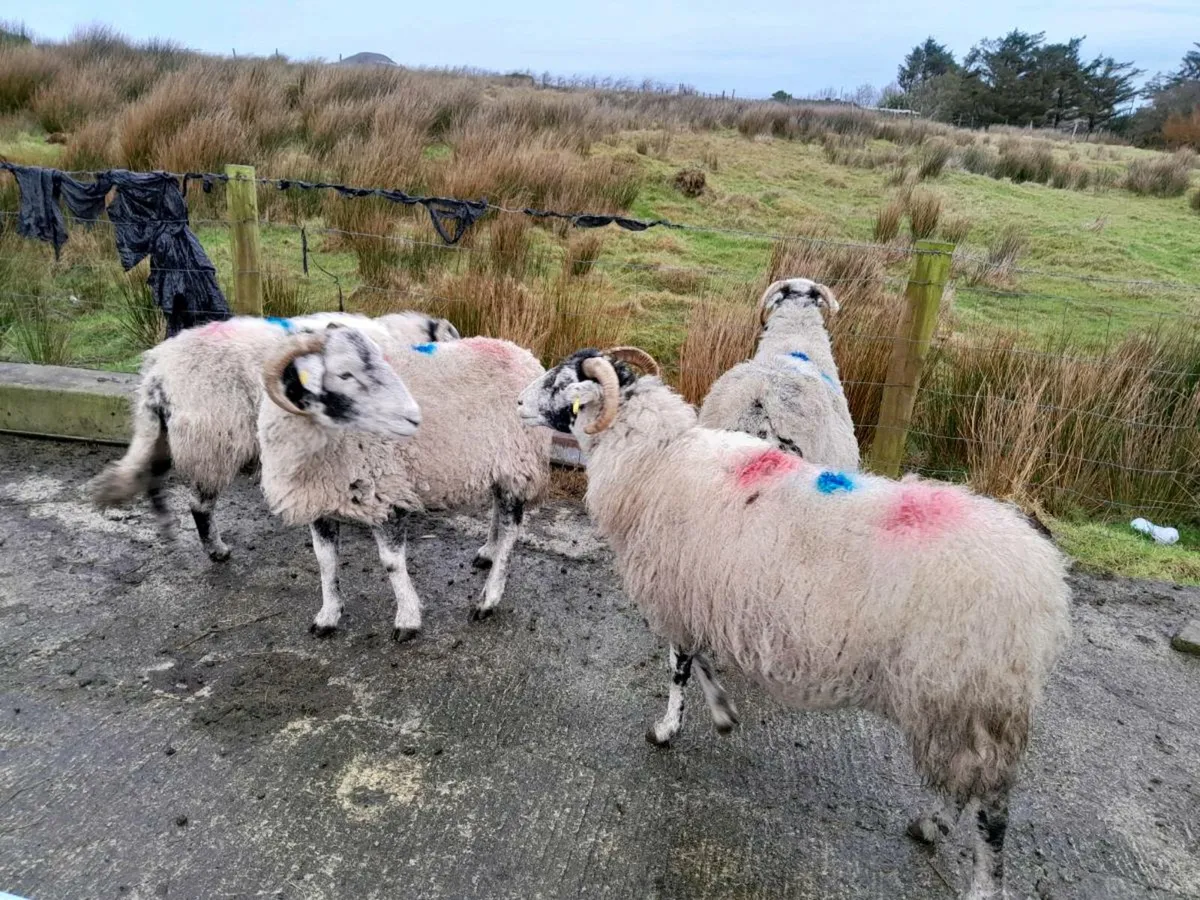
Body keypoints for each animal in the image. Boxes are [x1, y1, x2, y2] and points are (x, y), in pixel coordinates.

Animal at [89, 311, 458, 561]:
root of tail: (157, 373)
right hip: (214, 439)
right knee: (199, 505)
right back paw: (216, 550)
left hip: (167, 435)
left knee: (153, 481)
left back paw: (168, 531)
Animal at [258, 331, 551, 640]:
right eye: (344, 374)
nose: (412, 417)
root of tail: (521, 353)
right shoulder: (319, 502)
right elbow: (325, 561)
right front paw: (328, 615)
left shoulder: (387, 492)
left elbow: (391, 563)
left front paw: (407, 619)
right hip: (499, 464)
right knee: (497, 507)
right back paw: (488, 553)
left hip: (518, 461)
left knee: (510, 529)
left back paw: (488, 599)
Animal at [517, 346, 1071, 900]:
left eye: (560, 383)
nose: (518, 402)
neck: (659, 458)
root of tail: (1046, 580)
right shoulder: (702, 596)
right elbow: (702, 663)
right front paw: (723, 713)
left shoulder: (676, 594)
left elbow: (680, 668)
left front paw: (667, 729)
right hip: (957, 704)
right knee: (964, 789)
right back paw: (930, 826)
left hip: (971, 696)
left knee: (990, 811)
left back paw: (978, 878)